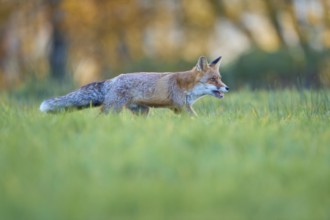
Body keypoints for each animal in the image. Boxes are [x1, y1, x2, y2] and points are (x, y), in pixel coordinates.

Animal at [39, 55, 229, 116]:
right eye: (213, 80)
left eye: (219, 78)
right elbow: (197, 120)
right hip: (113, 110)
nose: (227, 88)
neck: (186, 85)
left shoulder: (179, 109)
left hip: (143, 111)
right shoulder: (182, 106)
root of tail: (112, 80)